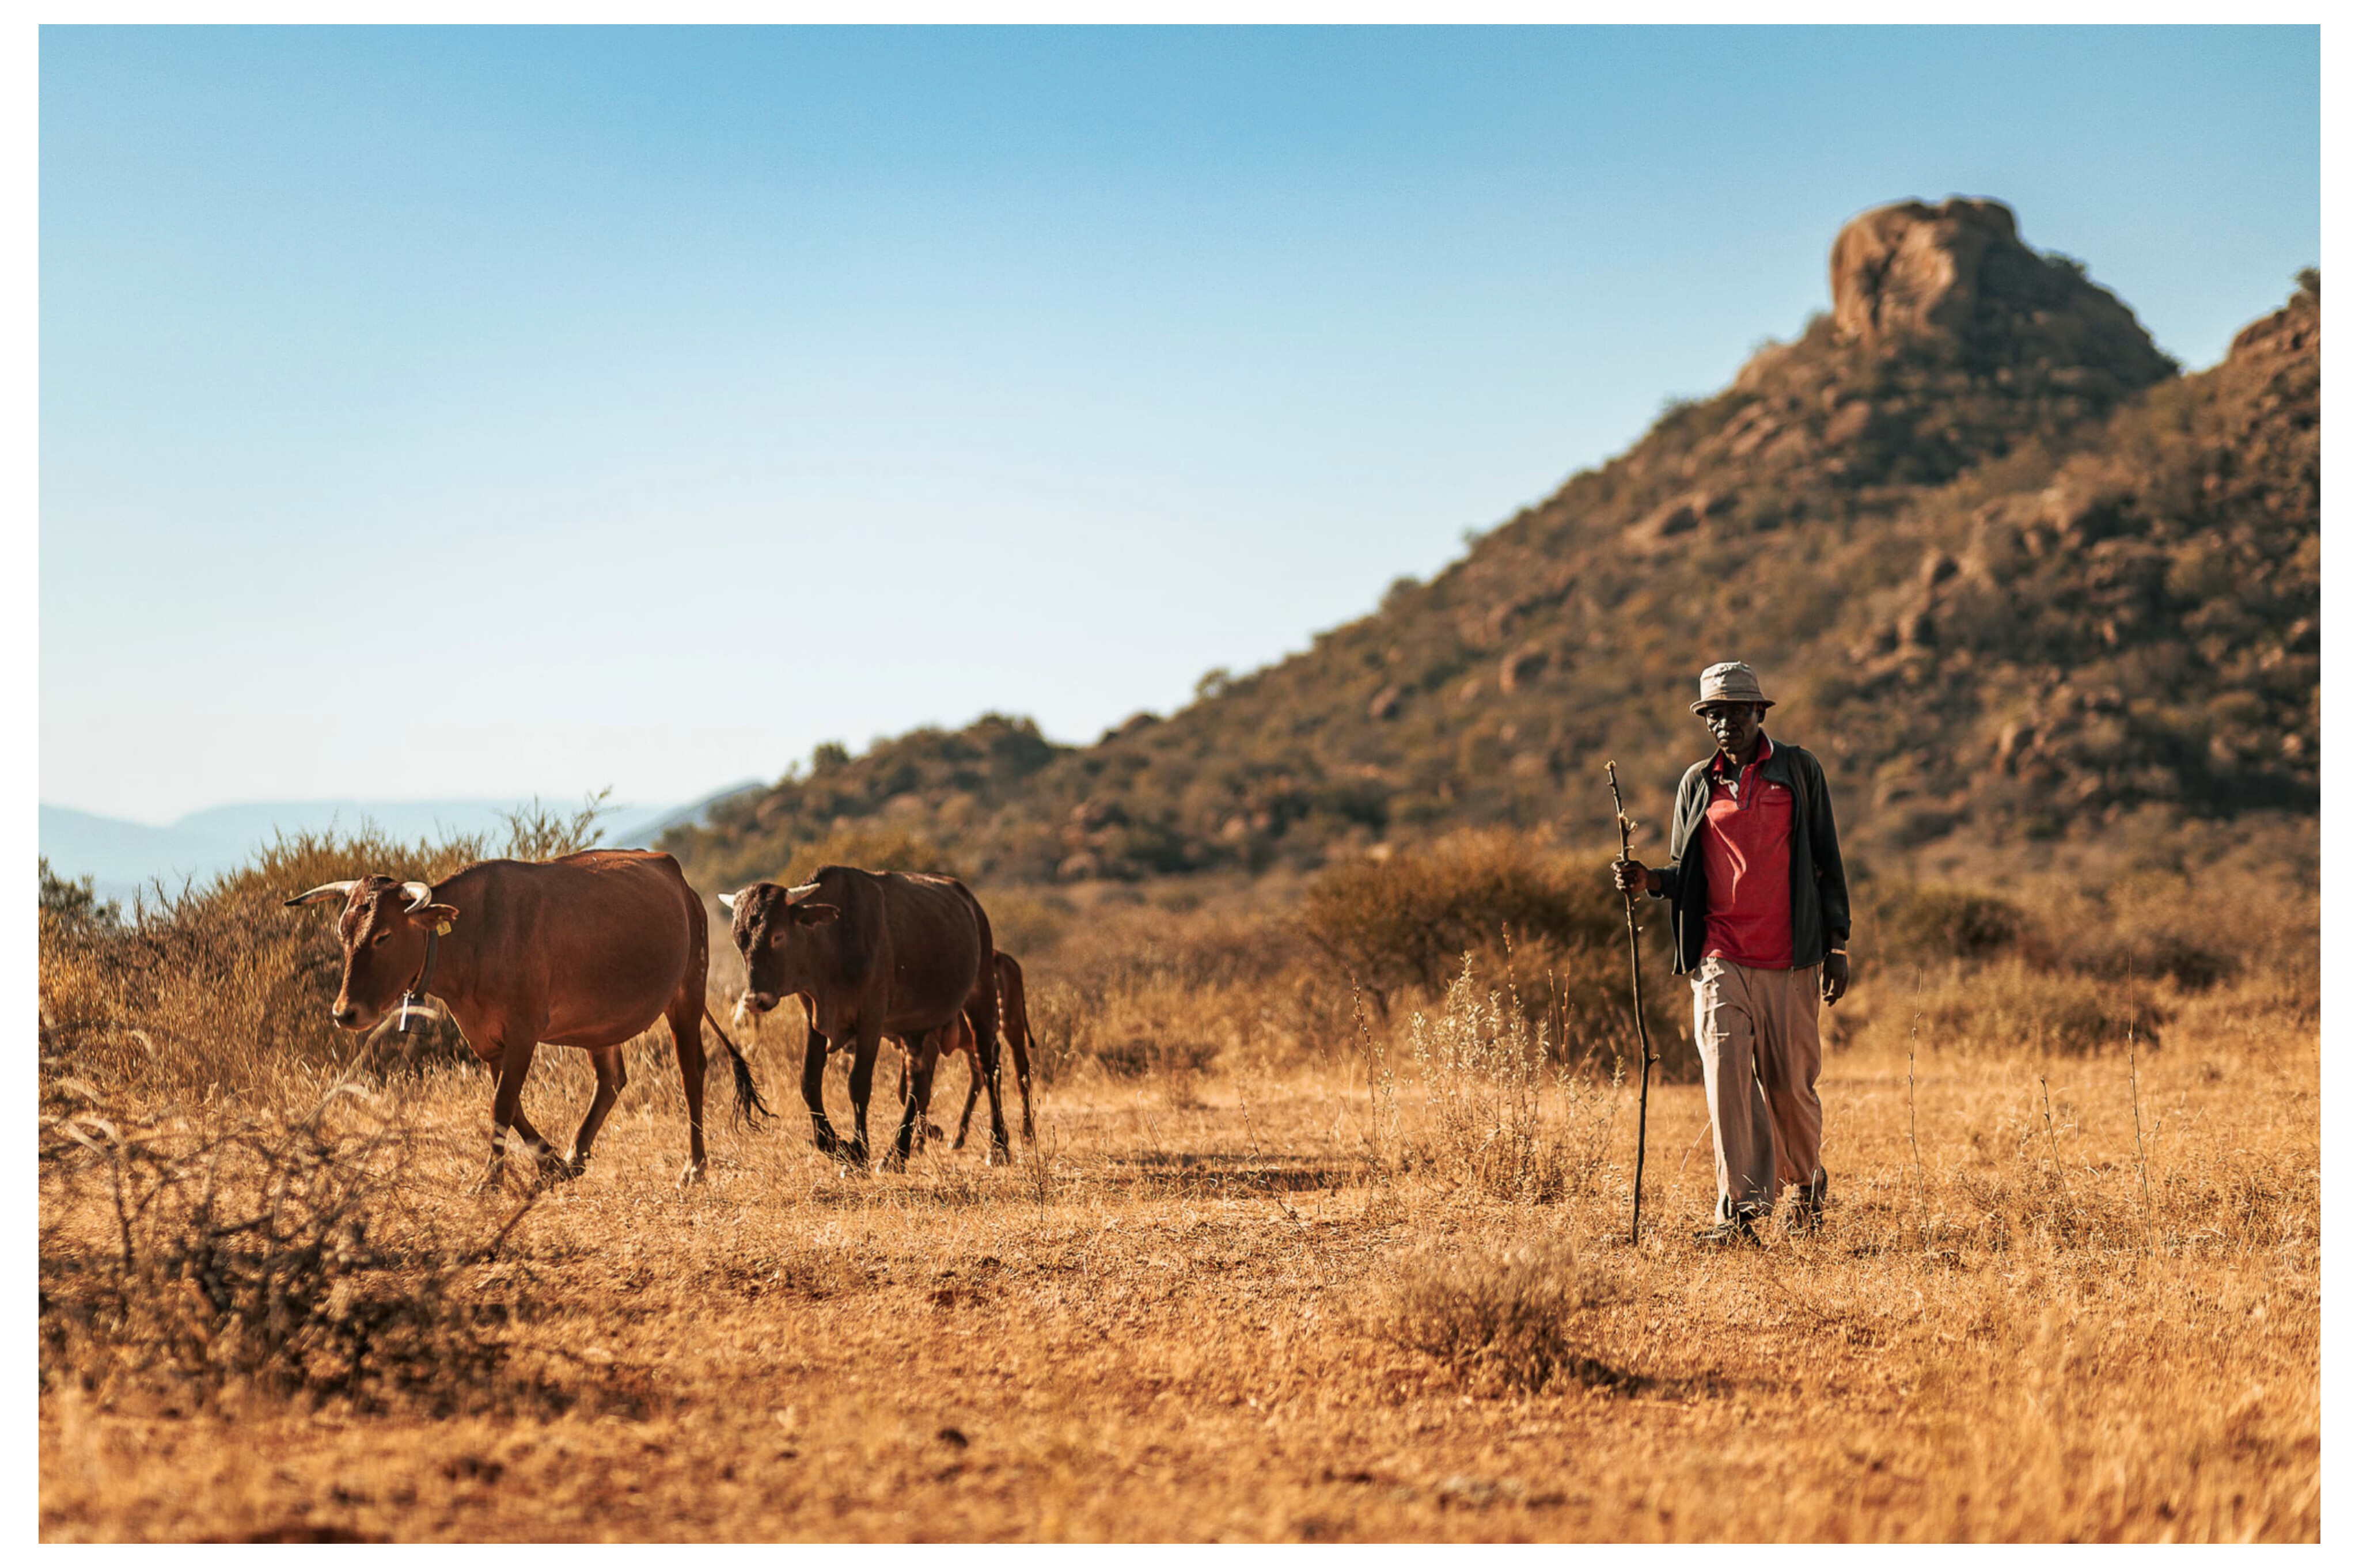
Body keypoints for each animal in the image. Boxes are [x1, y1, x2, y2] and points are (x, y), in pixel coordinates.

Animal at [286, 850, 769, 1189]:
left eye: (384, 935)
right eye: (344, 932)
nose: (345, 1012)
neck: (477, 933)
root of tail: (676, 876)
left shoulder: (523, 1032)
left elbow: (501, 1104)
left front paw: (490, 1178)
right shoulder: (486, 1039)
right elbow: (510, 1103)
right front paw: (550, 1164)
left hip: (687, 992)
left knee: (692, 1072)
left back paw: (694, 1167)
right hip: (602, 1026)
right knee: (611, 1079)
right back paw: (575, 1156)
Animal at [721, 865, 1009, 1167]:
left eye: (777, 936)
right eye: (739, 941)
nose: (755, 1000)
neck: (835, 941)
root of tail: (972, 905)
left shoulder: (871, 1021)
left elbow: (858, 1084)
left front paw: (859, 1151)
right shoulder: (815, 1020)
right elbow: (809, 1081)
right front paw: (833, 1143)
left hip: (981, 999)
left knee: (988, 1067)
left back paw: (998, 1146)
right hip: (918, 1030)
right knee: (919, 1082)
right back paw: (898, 1153)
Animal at [896, 950, 1039, 1150]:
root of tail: (1006, 959)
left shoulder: (929, 1047)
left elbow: (919, 1092)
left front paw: (927, 1136)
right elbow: (905, 1091)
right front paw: (925, 1137)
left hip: (1012, 1027)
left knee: (1021, 1072)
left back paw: (1027, 1134)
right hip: (973, 1040)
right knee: (980, 1076)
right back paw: (959, 1137)